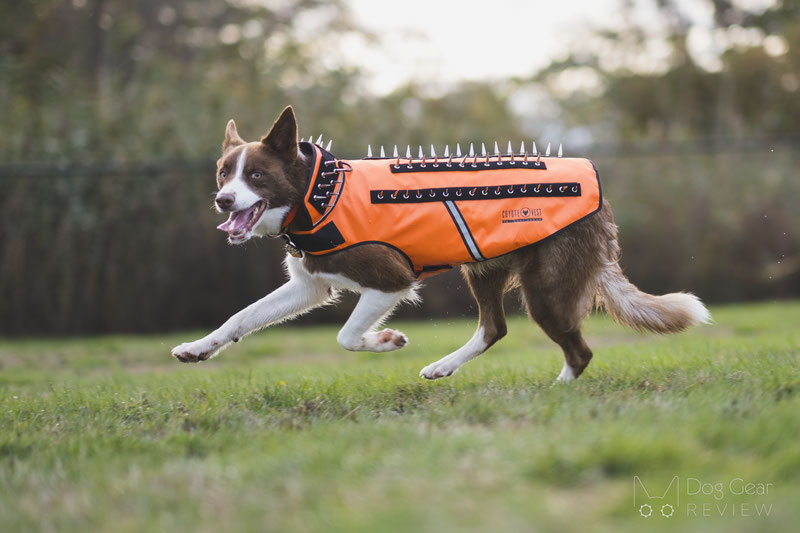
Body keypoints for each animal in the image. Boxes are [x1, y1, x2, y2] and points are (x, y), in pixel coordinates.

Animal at [172, 106, 708, 380]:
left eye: (257, 176)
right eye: (223, 173)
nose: (222, 200)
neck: (315, 193)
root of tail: (602, 201)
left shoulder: (390, 281)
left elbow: (346, 336)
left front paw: (385, 340)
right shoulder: (310, 285)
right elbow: (241, 318)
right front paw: (199, 349)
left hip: (546, 290)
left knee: (578, 353)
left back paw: (558, 397)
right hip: (484, 268)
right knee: (494, 328)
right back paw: (443, 367)